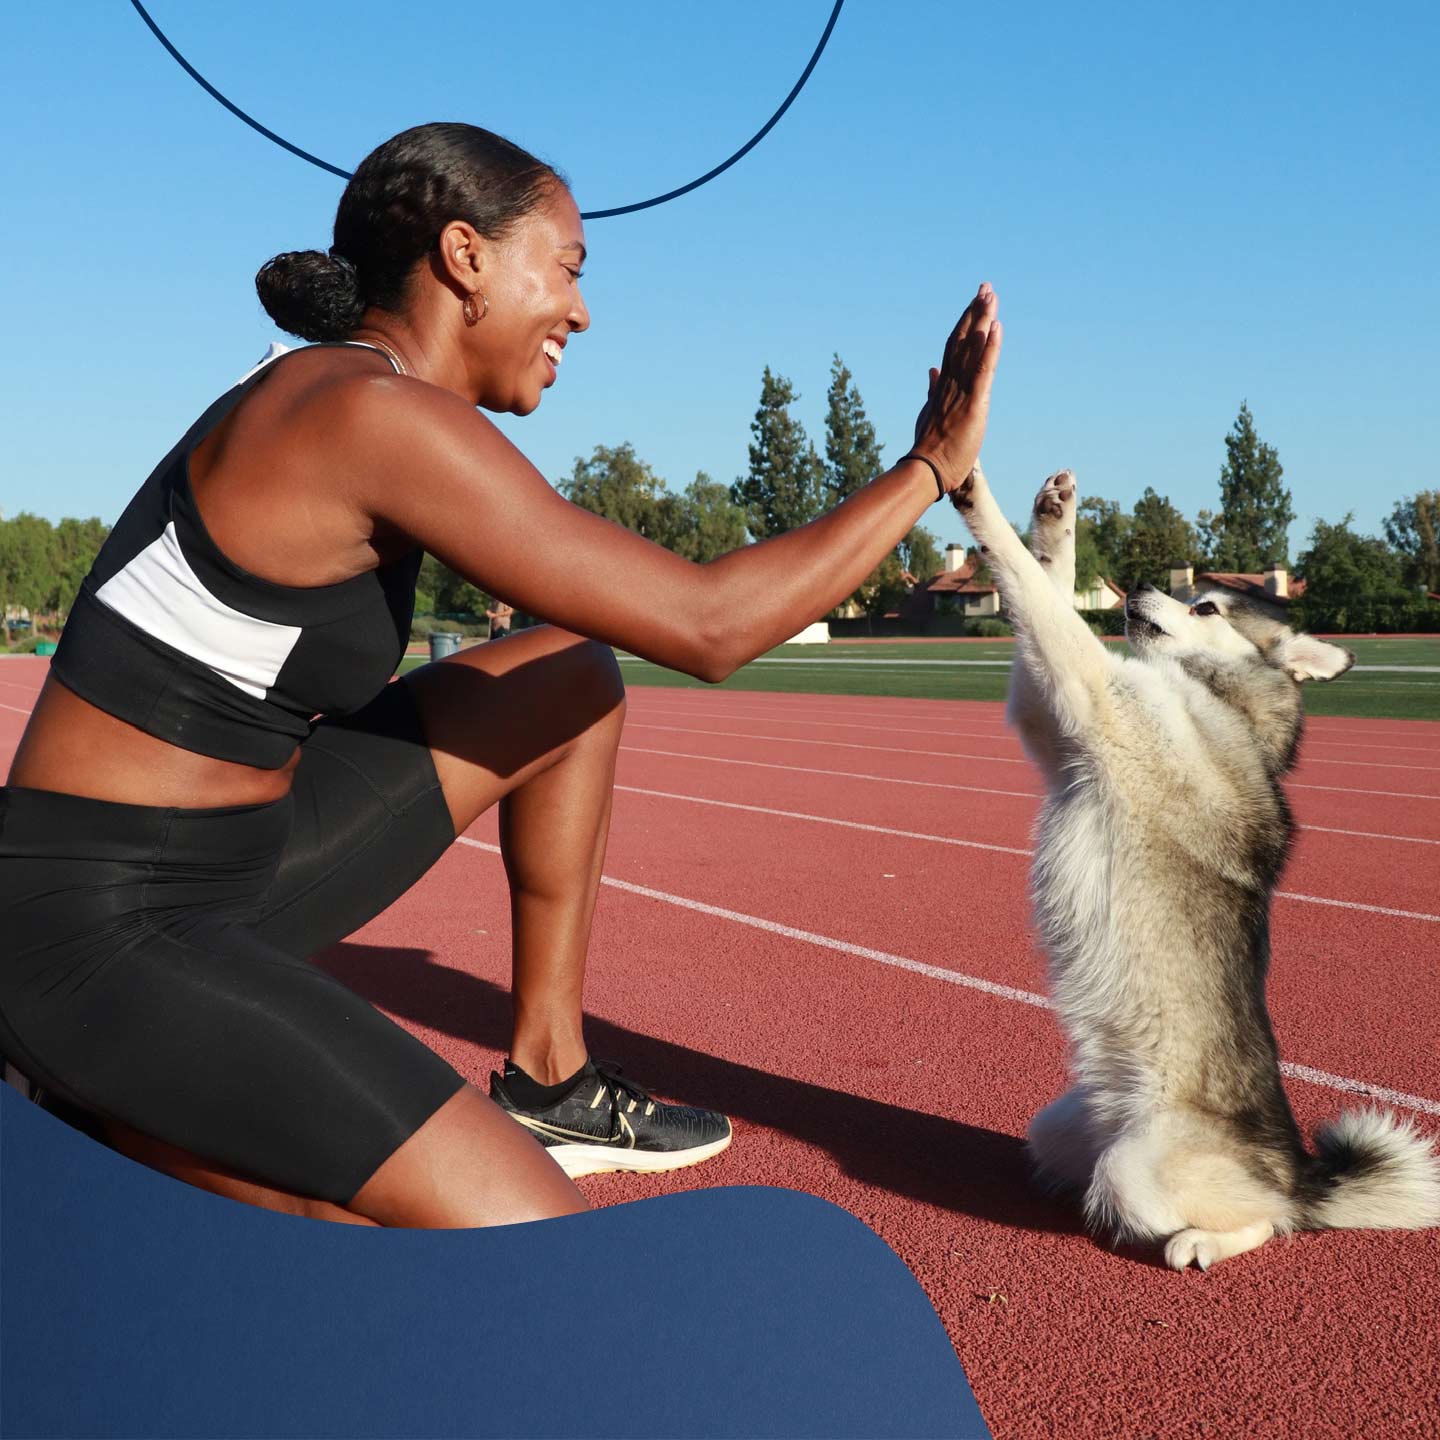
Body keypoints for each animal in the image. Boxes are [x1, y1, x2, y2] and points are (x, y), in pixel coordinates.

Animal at [950, 463, 1434, 1272]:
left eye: (1204, 604)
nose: (1143, 584)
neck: (1224, 698)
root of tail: (1298, 1171)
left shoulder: (1096, 694)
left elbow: (1038, 596)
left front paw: (979, 498)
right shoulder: (1056, 723)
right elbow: (1045, 582)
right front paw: (1055, 519)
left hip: (1138, 1169)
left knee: (1273, 1221)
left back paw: (1202, 1241)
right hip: (1061, 1123)